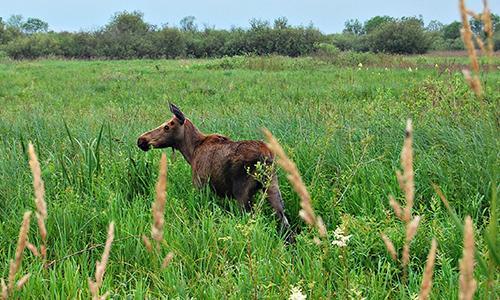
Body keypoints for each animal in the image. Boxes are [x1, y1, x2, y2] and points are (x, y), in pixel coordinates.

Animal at [138, 104, 292, 238]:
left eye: (167, 126)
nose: (141, 140)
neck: (191, 152)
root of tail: (266, 156)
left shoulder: (200, 185)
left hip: (242, 192)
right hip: (272, 185)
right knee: (284, 221)